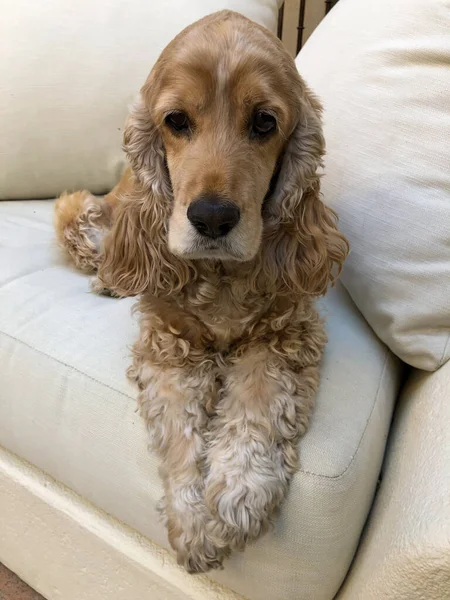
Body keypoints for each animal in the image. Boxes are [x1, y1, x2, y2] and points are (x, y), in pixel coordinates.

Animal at [52, 9, 348, 572]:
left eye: (264, 122)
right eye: (177, 121)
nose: (211, 217)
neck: (220, 275)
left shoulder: (287, 334)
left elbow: (258, 404)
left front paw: (238, 494)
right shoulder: (168, 345)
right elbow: (179, 430)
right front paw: (193, 526)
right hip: (78, 210)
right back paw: (108, 280)